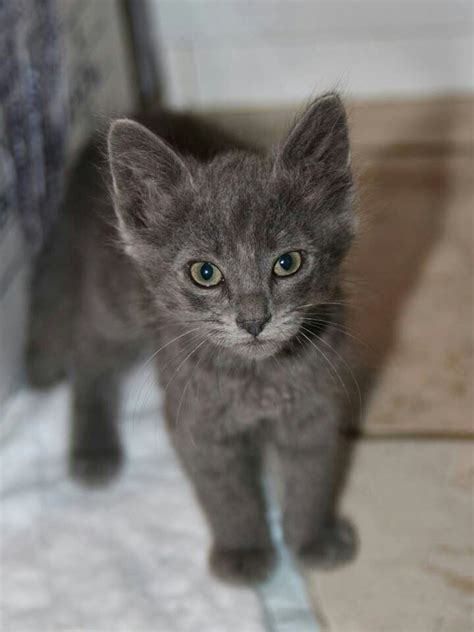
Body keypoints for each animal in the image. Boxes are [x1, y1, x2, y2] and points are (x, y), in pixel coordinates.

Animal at [26, 94, 356, 584]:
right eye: (205, 273)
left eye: (288, 263)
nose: (254, 320)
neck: (255, 376)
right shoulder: (196, 420)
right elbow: (226, 492)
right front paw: (244, 550)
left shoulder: (312, 408)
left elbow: (310, 477)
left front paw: (312, 538)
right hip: (113, 303)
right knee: (88, 354)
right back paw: (93, 449)